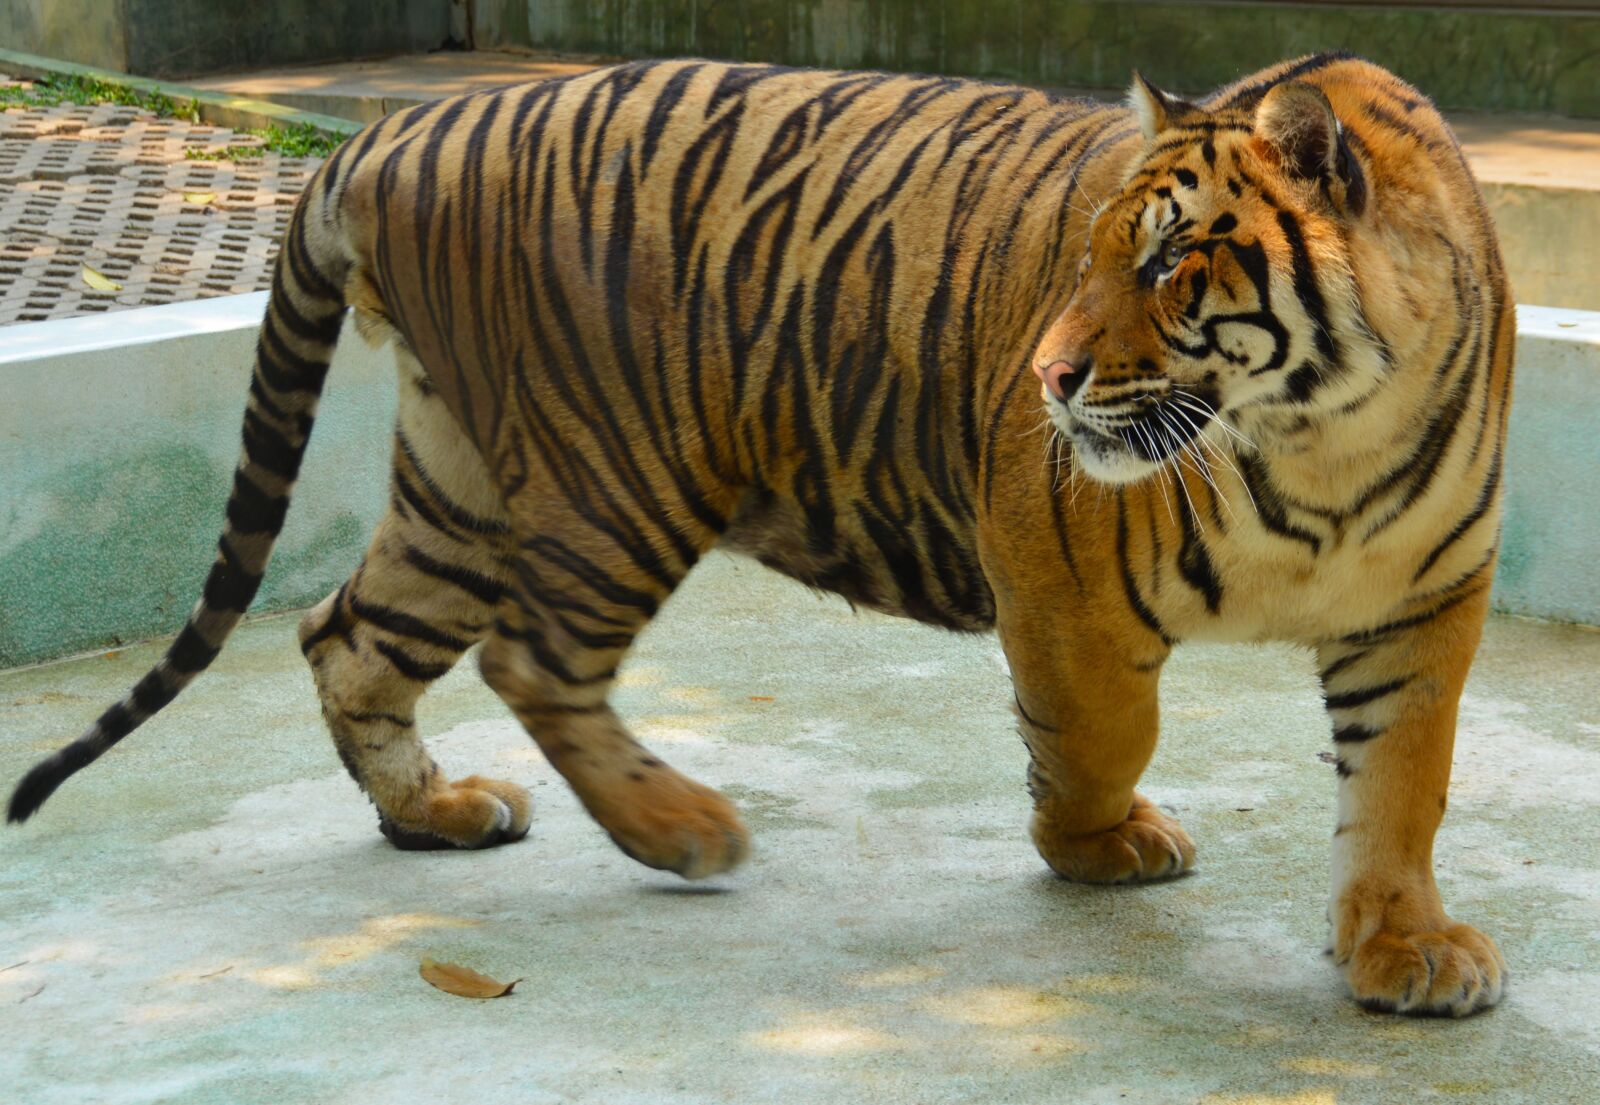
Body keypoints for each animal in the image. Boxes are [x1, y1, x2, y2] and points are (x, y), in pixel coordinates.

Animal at [7, 51, 1512, 1016]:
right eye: (1086, 253)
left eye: (1164, 260)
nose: (1045, 378)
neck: (1322, 432)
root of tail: (386, 136)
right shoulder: (1058, 575)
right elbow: (1100, 737)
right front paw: (1096, 844)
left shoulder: (1422, 605)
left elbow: (1402, 786)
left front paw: (1405, 949)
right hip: (617, 471)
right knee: (528, 659)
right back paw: (682, 831)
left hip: (458, 480)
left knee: (349, 635)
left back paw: (436, 813)